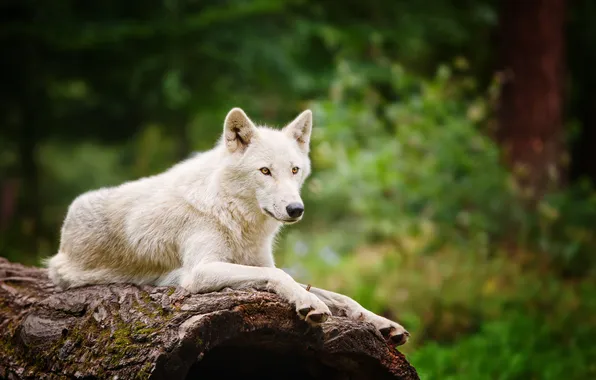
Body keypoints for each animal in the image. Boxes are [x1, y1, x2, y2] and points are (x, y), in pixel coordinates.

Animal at [46, 107, 410, 344]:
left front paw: (383, 323)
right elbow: (283, 277)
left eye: (294, 170)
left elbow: (341, 295)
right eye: (265, 171)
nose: (296, 209)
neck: (234, 215)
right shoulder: (200, 272)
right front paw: (311, 305)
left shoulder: (259, 262)